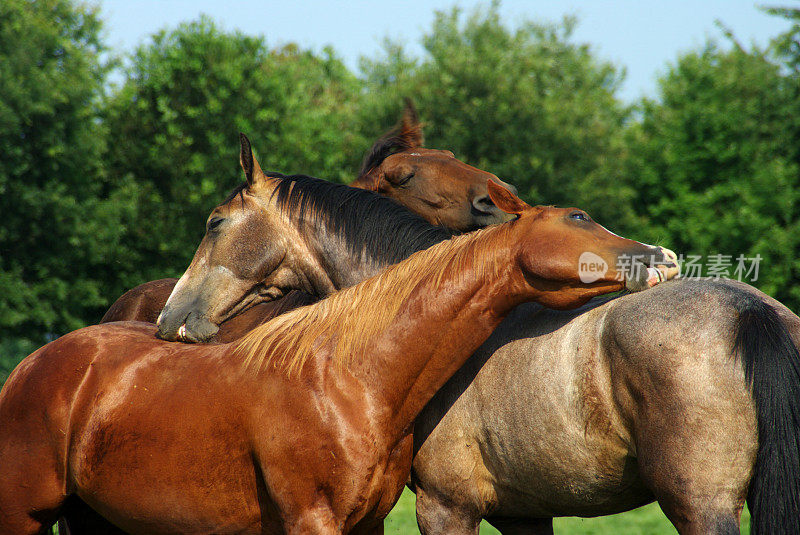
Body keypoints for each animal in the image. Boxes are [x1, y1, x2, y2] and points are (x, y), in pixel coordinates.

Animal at [0, 183, 668, 532]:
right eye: (579, 219)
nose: (661, 255)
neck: (349, 378)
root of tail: (32, 366)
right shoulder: (314, 521)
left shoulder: (369, 522)